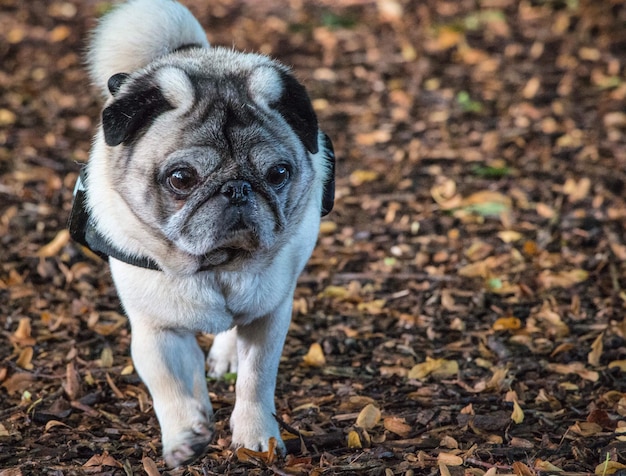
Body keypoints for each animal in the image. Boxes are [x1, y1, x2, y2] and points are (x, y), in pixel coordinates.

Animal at [68, 0, 334, 466]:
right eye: (181, 179)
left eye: (278, 173)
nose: (237, 188)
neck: (216, 266)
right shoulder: (158, 332)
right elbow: (173, 389)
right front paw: (185, 437)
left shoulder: (269, 316)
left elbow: (256, 381)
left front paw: (256, 436)